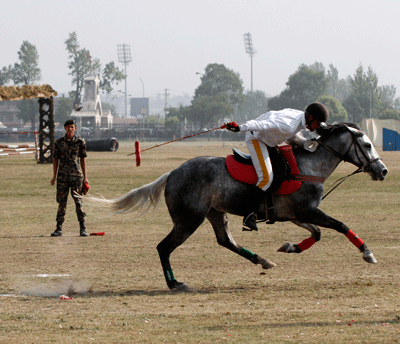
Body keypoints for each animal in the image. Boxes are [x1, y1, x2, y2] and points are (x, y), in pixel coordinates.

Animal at [84, 123, 388, 290]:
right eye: (367, 144)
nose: (383, 171)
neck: (310, 167)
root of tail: (171, 174)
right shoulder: (307, 211)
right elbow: (340, 225)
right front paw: (368, 253)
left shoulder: (296, 214)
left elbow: (317, 233)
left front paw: (289, 247)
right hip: (189, 219)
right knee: (164, 247)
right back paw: (175, 283)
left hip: (215, 213)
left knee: (225, 240)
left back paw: (263, 260)